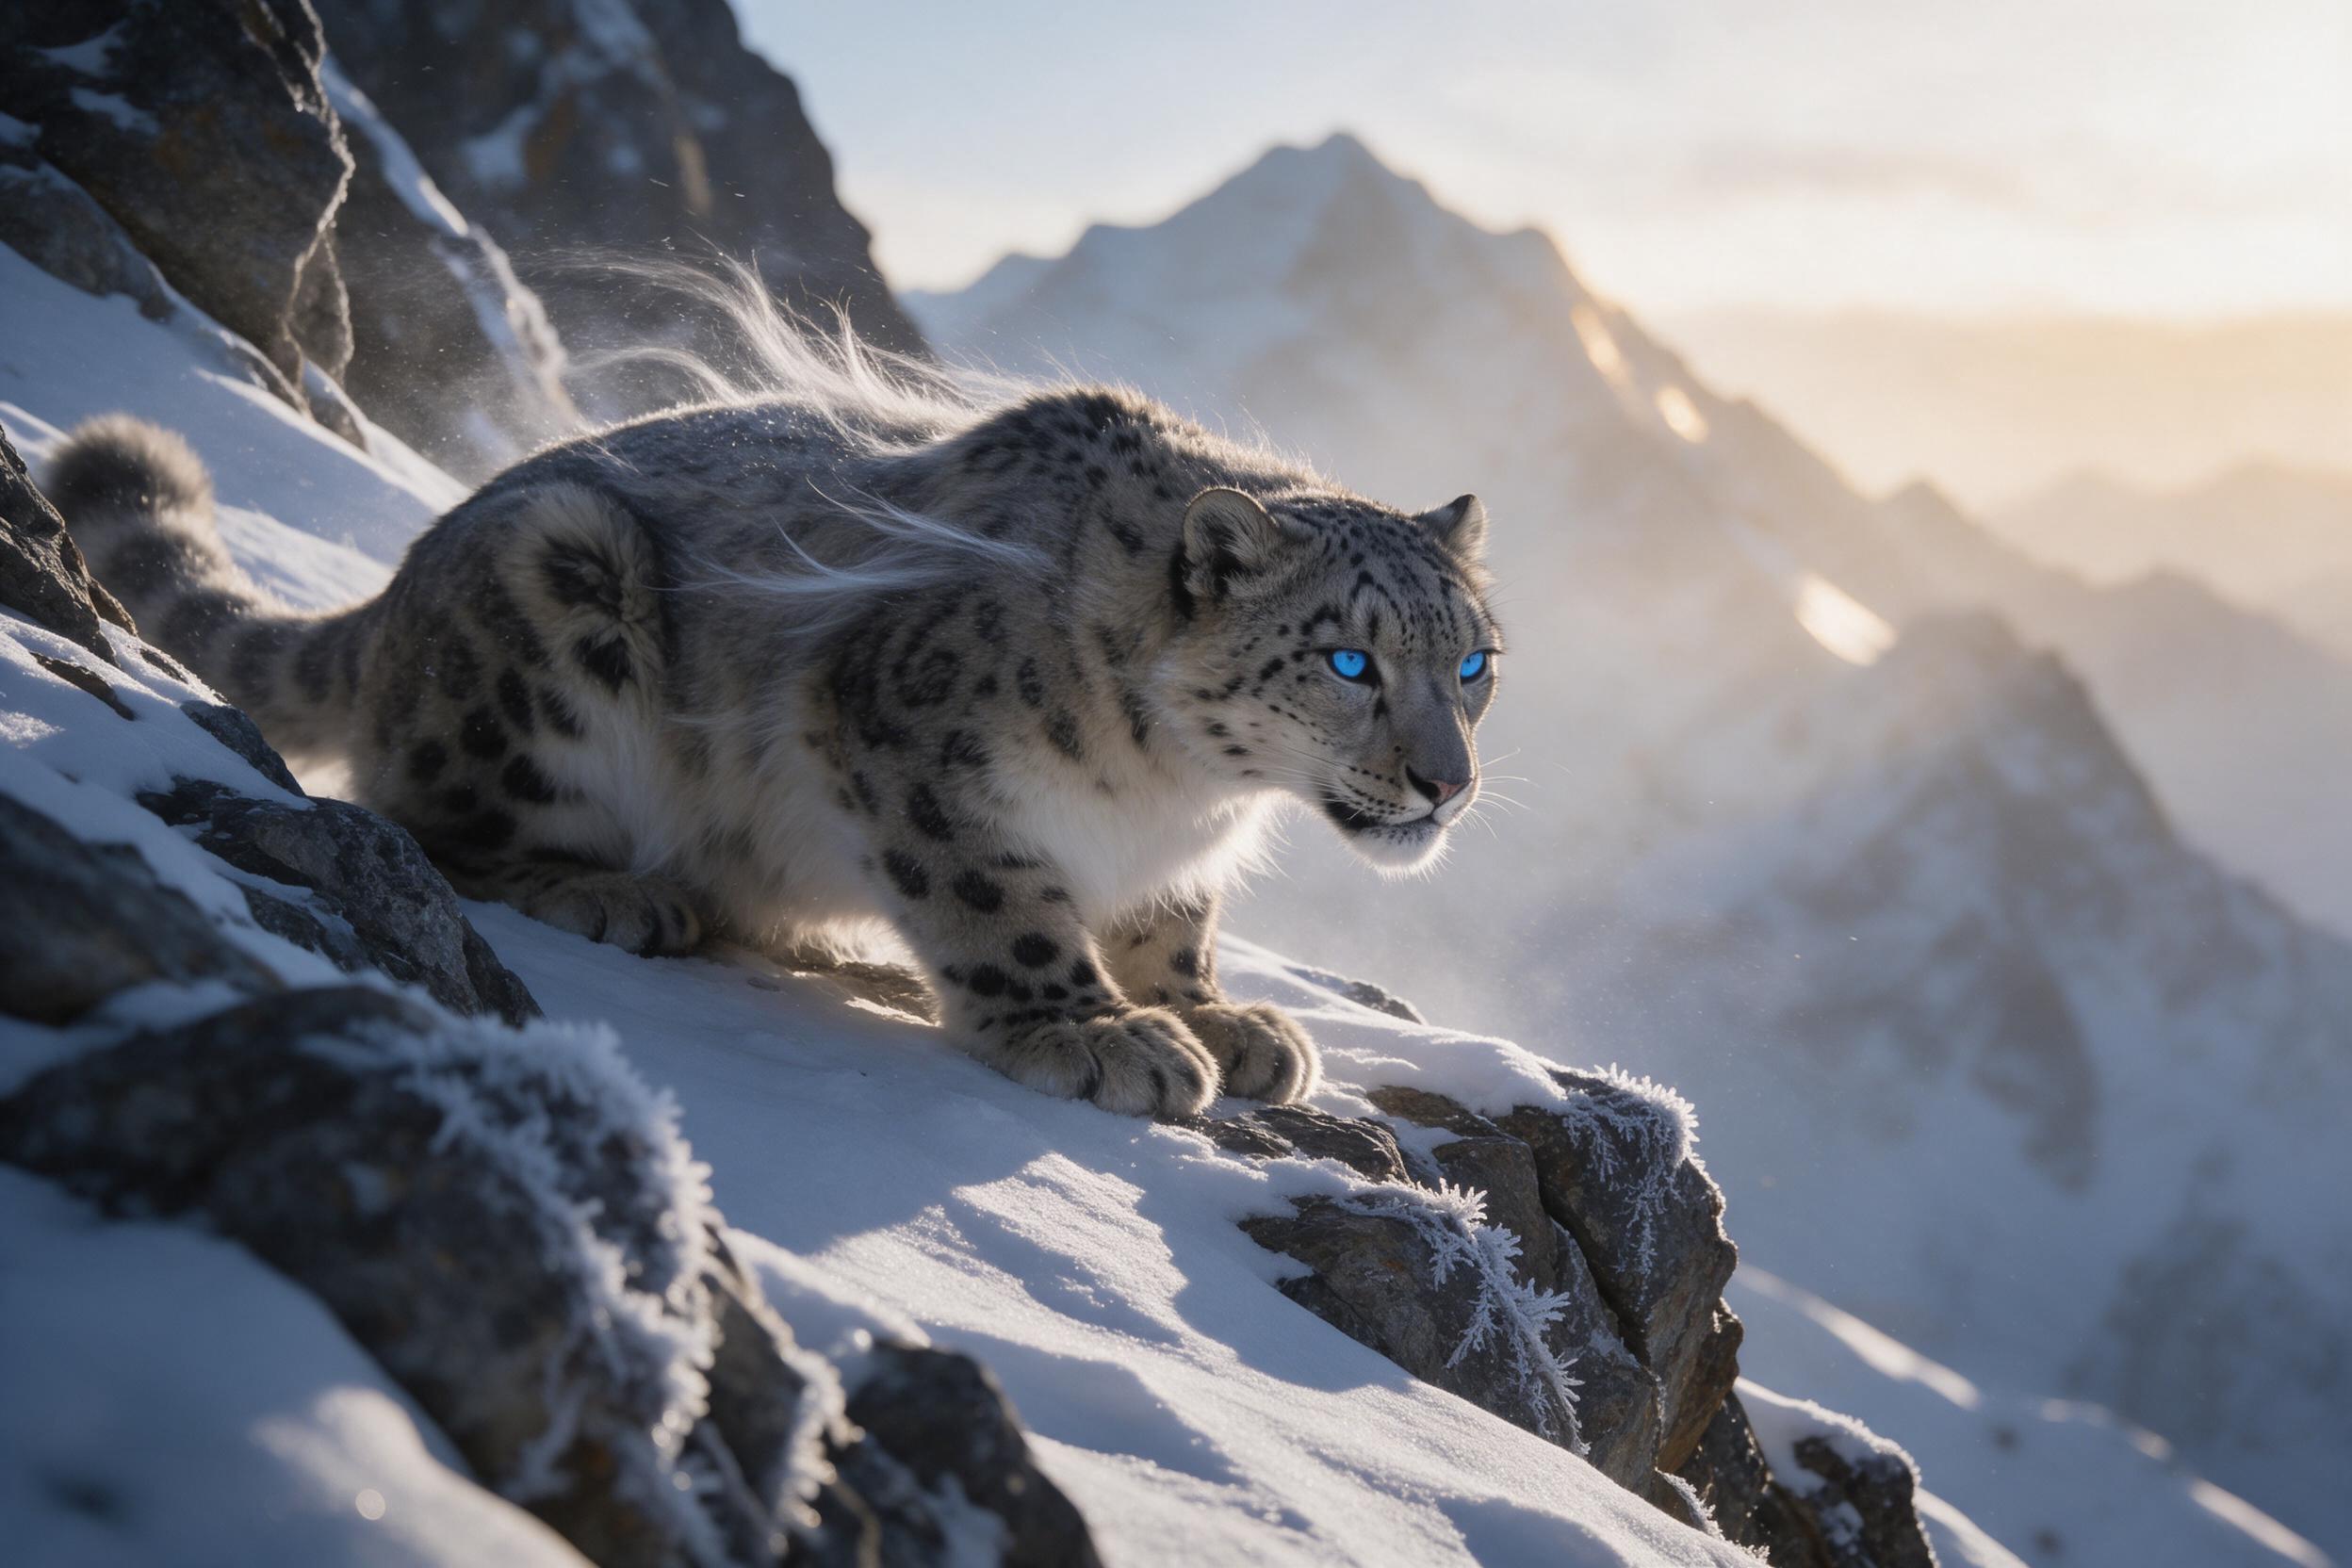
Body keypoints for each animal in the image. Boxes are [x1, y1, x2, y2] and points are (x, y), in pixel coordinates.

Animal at [45, 309, 1503, 1120]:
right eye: (1351, 661)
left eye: (1475, 662)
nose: (1448, 784)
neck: (1183, 790)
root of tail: (398, 594)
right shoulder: (908, 735)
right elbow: (1001, 902)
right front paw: (1095, 1035)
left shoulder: (1173, 861)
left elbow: (1171, 922)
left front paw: (1222, 1016)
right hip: (550, 607)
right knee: (426, 818)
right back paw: (619, 893)